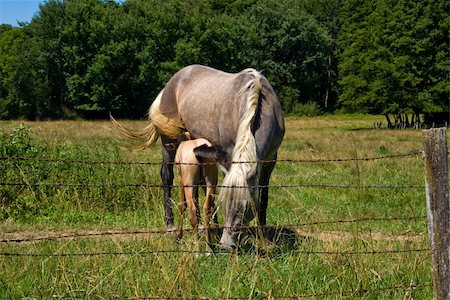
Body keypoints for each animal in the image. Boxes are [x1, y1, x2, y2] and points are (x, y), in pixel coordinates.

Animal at [111, 65, 284, 251]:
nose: (226, 246)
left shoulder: (269, 161)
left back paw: (204, 226)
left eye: (245, 207)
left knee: (198, 185)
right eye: (225, 204)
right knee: (167, 176)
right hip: (169, 142)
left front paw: (265, 239)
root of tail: (173, 81)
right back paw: (171, 226)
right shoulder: (228, 156)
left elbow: (263, 199)